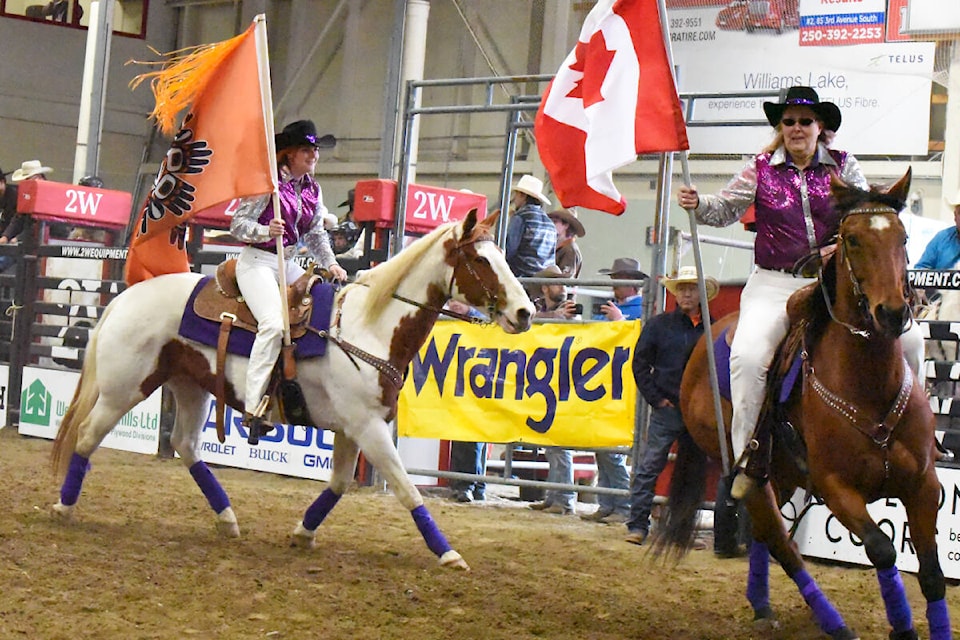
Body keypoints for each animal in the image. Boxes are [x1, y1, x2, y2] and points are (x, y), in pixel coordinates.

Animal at [50, 210, 532, 568]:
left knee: (185, 445)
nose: (525, 313)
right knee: (88, 437)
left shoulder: (353, 429)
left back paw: (227, 520)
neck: (367, 329)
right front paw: (448, 553)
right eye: (482, 261)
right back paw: (64, 508)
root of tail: (124, 297)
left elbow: (339, 484)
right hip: (125, 388)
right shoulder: (370, 428)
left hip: (191, 387)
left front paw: (303, 532)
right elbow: (406, 488)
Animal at [656, 170, 948, 640]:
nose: (891, 312)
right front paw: (901, 628)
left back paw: (762, 606)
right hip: (751, 477)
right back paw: (833, 624)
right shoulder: (836, 488)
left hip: (782, 475)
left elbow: (933, 574)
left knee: (764, 538)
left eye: (903, 237)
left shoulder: (923, 484)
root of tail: (701, 345)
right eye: (852, 239)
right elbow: (883, 549)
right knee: (781, 542)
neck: (868, 386)